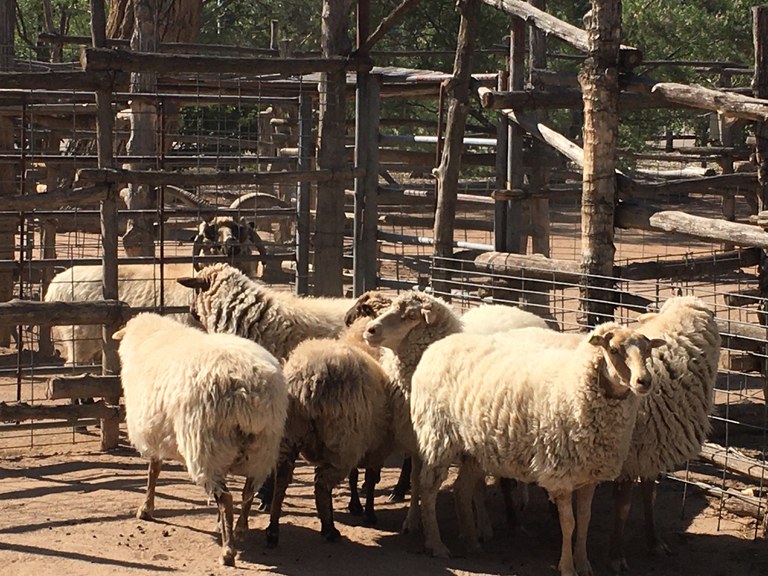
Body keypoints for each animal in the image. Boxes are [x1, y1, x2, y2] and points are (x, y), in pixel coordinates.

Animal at [115, 312, 292, 564]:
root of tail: (250, 392)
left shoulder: (154, 434)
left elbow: (153, 472)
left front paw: (146, 509)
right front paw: (221, 525)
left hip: (206, 445)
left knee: (226, 498)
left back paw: (228, 551)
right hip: (262, 447)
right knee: (248, 491)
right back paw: (239, 528)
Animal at [268, 318, 392, 548]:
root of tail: (307, 377)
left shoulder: (364, 441)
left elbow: (356, 476)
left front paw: (356, 505)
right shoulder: (375, 446)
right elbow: (370, 480)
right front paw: (369, 512)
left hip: (290, 433)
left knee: (281, 479)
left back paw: (272, 530)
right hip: (341, 442)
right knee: (321, 485)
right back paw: (329, 529)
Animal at [408, 324, 664, 576]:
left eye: (648, 350)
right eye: (613, 350)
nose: (644, 381)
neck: (575, 385)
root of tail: (436, 347)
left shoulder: (589, 473)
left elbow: (585, 519)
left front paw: (583, 564)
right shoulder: (560, 474)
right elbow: (568, 524)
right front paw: (567, 567)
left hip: (474, 450)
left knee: (461, 489)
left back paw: (472, 542)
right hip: (437, 438)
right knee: (428, 490)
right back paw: (436, 544)